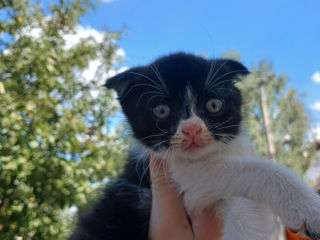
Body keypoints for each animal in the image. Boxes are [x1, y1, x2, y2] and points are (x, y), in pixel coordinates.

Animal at [71, 52, 320, 240]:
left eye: (214, 104)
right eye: (161, 110)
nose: (192, 129)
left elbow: (245, 206)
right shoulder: (174, 179)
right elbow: (251, 170)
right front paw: (308, 207)